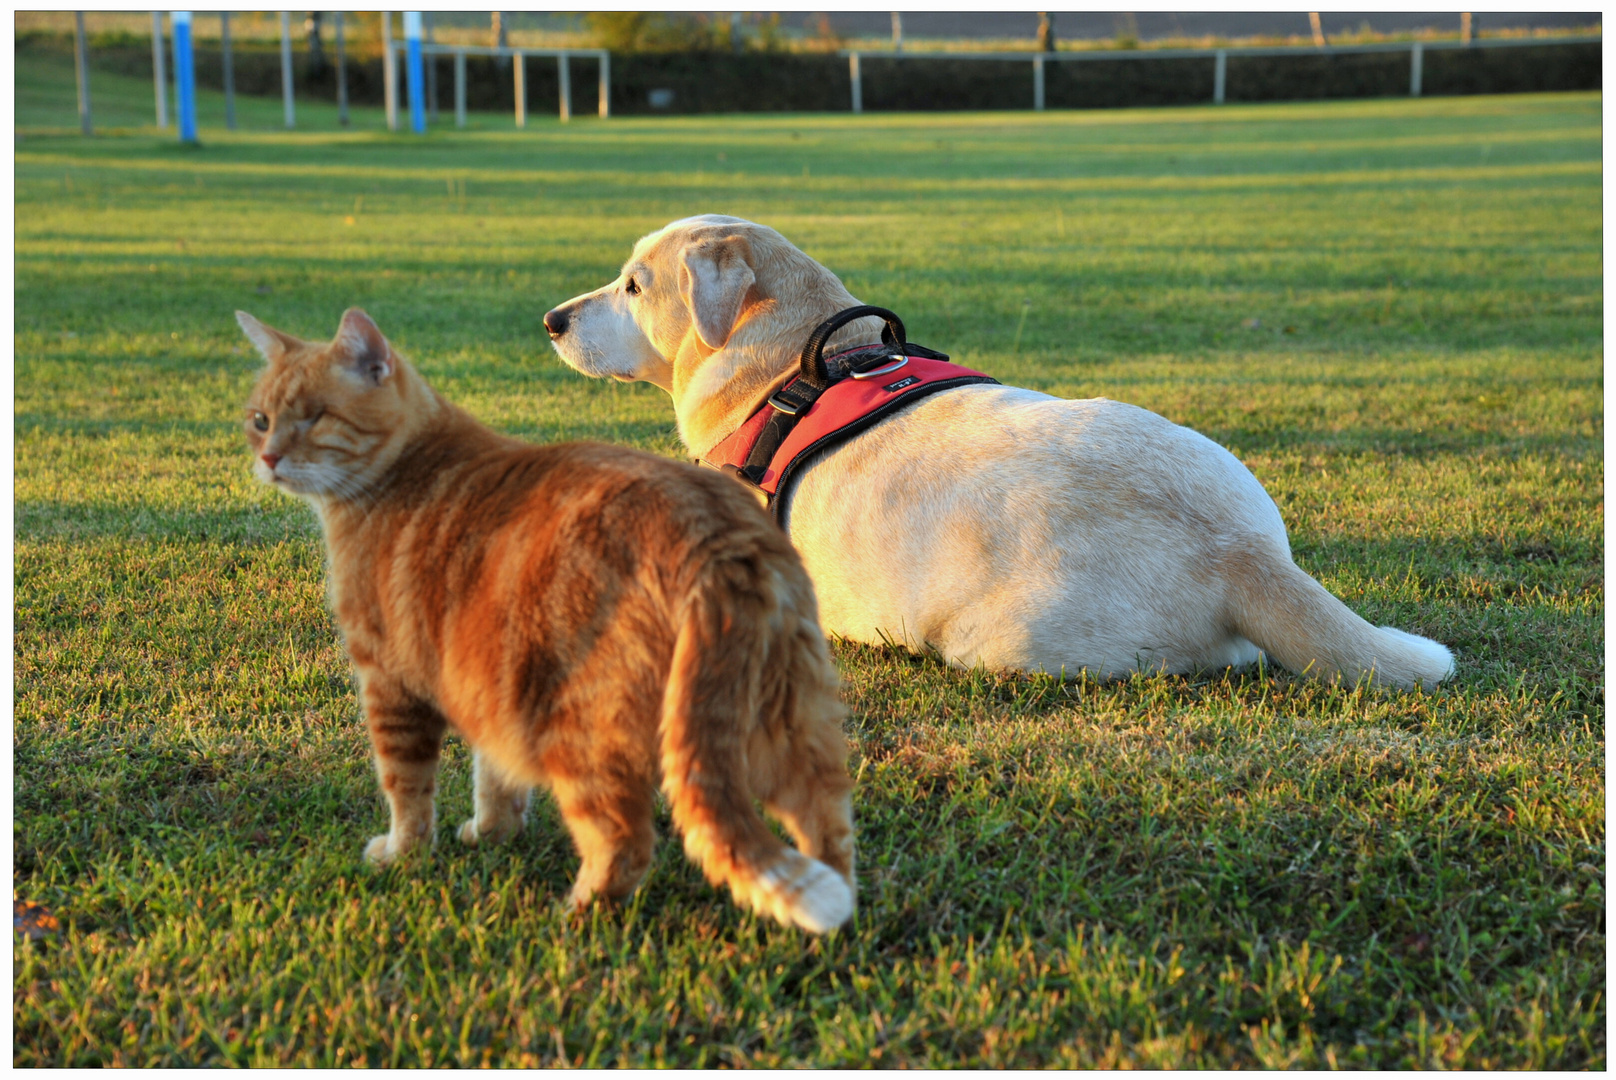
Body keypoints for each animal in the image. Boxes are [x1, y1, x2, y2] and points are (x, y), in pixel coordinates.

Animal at [237, 307, 859, 931]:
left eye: (316, 417)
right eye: (260, 420)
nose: (268, 459)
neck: (404, 467)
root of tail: (718, 542)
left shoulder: (390, 682)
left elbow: (405, 788)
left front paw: (401, 854)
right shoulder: (487, 683)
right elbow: (495, 776)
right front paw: (492, 832)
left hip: (583, 735)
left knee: (626, 844)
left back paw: (573, 914)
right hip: (789, 727)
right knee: (829, 832)